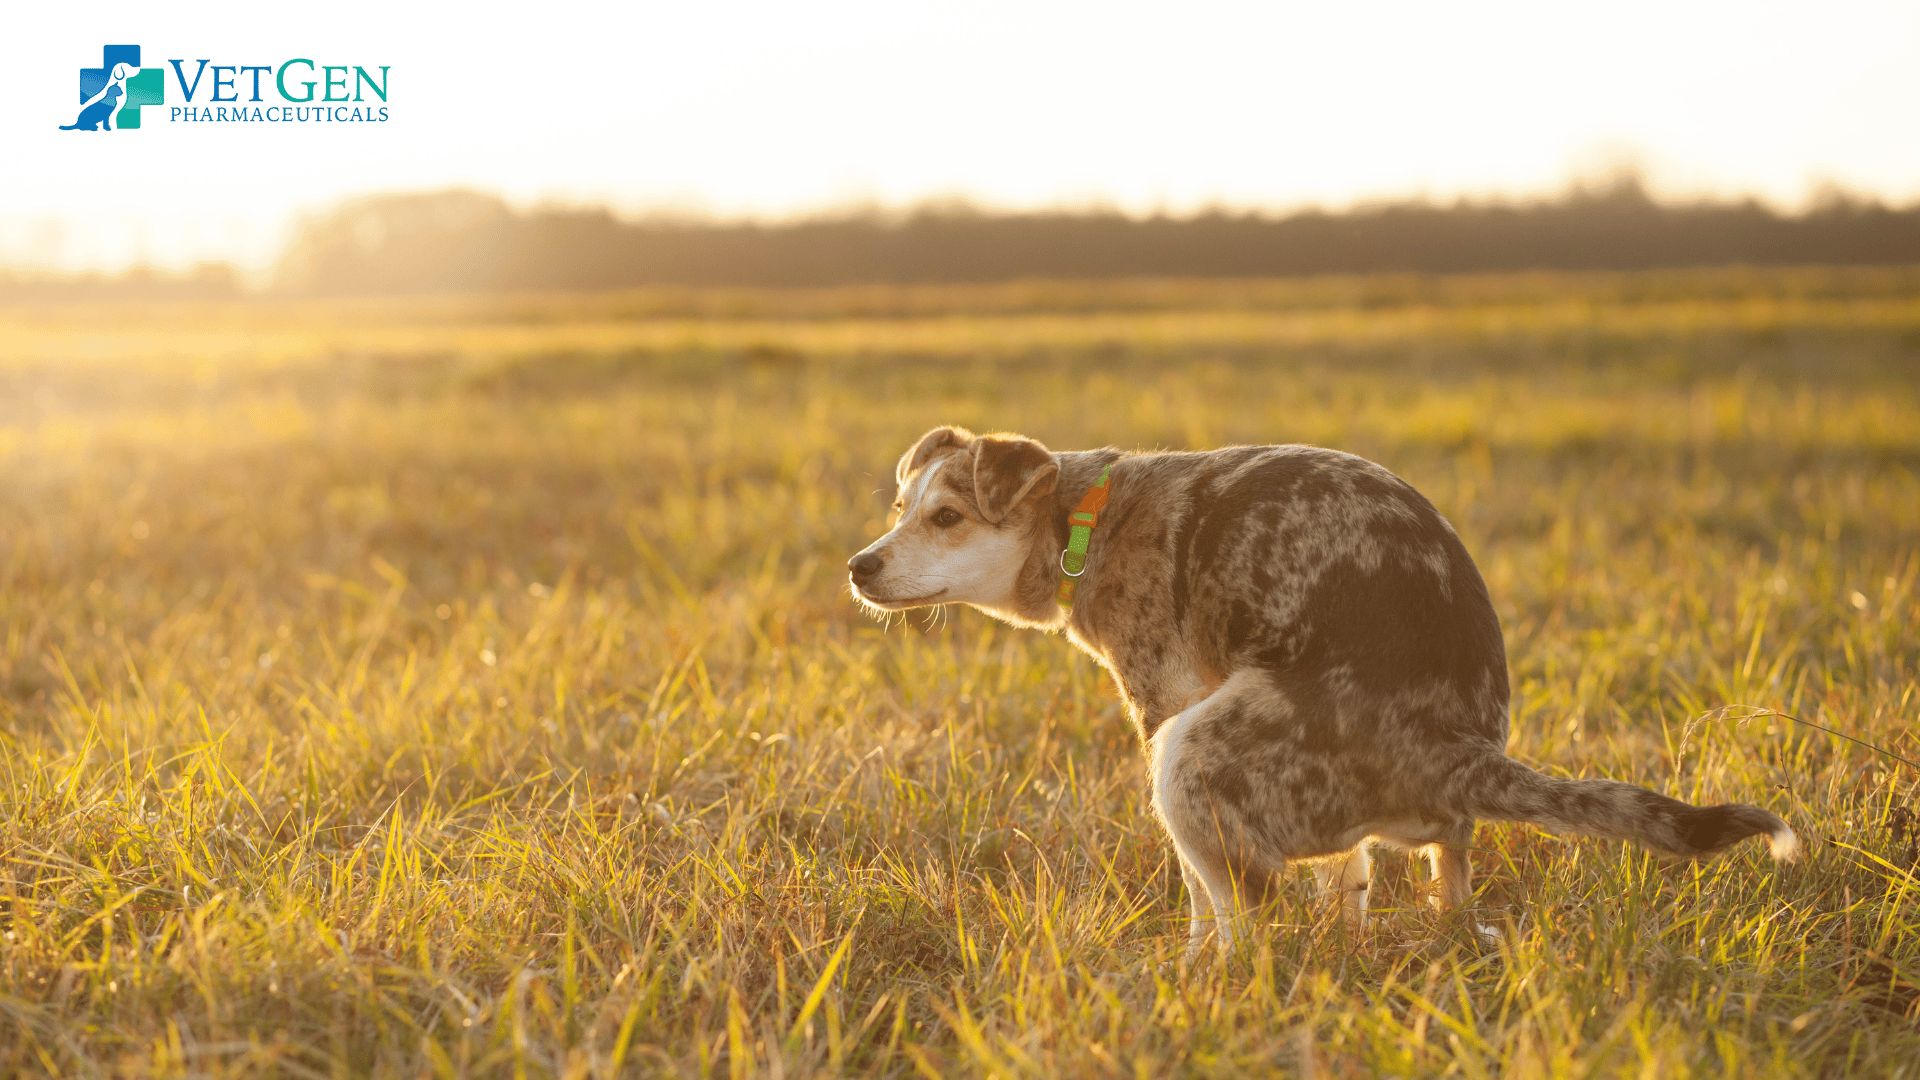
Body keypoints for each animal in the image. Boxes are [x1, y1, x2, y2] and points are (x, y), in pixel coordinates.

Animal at [848, 426, 1789, 949]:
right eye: (898, 509)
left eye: (946, 517)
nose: (859, 566)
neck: (1085, 519)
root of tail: (1458, 750)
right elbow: (1350, 877)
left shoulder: (1163, 706)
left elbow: (1201, 897)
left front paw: (1191, 965)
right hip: (1415, 828)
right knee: (1445, 878)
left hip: (1189, 753)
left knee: (1248, 917)